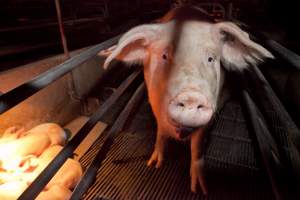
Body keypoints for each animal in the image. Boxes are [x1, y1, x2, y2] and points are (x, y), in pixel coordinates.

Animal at [99, 6, 274, 194]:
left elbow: (197, 146)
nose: (191, 96)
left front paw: (199, 189)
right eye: (164, 56)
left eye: (211, 58)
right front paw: (154, 164)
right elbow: (161, 133)